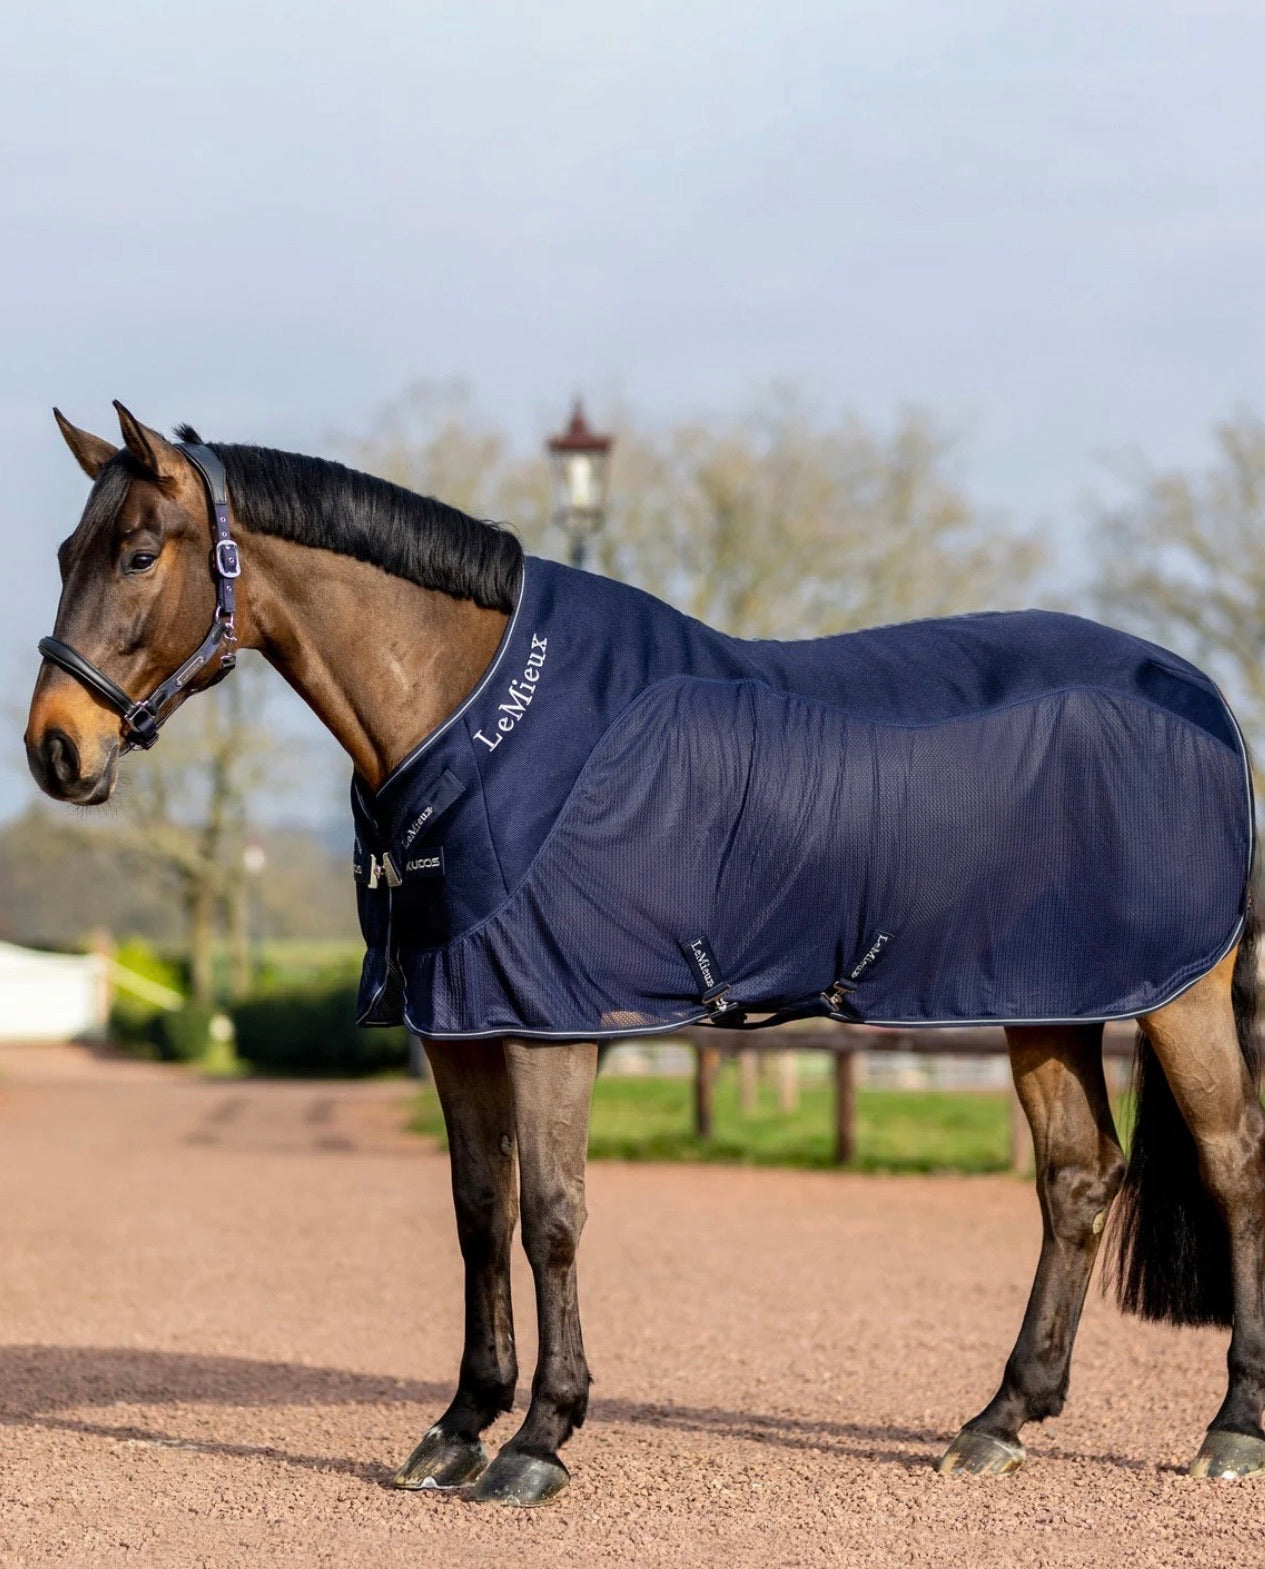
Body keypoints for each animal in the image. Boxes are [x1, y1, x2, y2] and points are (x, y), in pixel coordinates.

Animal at [25, 402, 1265, 1506]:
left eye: (138, 552)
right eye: (66, 551)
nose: (55, 749)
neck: (476, 715)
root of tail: (1199, 699)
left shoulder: (550, 1021)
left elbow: (550, 1218)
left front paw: (538, 1441)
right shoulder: (458, 1021)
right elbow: (477, 1215)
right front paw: (459, 1427)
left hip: (1176, 998)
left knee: (1231, 1165)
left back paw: (1229, 1430)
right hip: (1047, 1002)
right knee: (1075, 1177)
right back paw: (999, 1420)